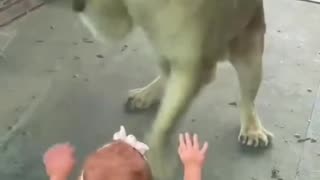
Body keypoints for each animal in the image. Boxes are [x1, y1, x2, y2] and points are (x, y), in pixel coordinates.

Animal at [72, 0, 272, 178]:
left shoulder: (191, 63)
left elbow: (163, 129)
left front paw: (157, 163)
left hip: (249, 52)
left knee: (246, 96)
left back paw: (252, 129)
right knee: (165, 69)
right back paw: (147, 94)